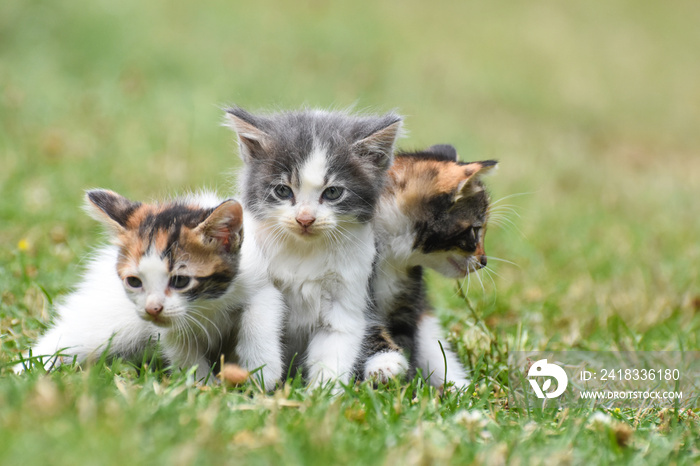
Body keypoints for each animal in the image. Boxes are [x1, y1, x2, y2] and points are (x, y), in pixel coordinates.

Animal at [227, 107, 402, 388]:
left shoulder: (348, 291)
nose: (305, 219)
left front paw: (322, 392)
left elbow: (335, 344)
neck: (304, 251)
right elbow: (260, 313)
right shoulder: (255, 270)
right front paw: (263, 372)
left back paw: (385, 364)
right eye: (282, 190)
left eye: (332, 193)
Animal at [366, 144, 498, 388]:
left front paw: (407, 387)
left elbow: (406, 339)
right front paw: (386, 366)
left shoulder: (407, 302)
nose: (484, 261)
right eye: (475, 230)